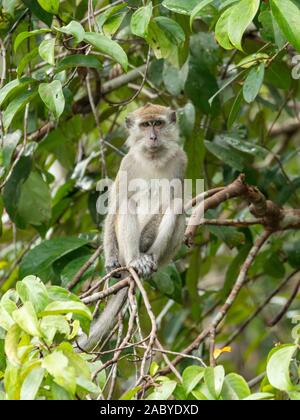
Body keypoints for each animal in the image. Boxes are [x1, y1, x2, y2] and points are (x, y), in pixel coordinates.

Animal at [79, 104, 188, 352]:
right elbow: (116, 205)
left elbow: (174, 199)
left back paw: (149, 258)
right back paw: (134, 262)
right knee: (127, 205)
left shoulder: (181, 160)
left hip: (167, 255)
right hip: (124, 250)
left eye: (158, 123)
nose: (153, 137)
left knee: (176, 208)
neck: (153, 158)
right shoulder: (126, 164)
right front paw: (110, 262)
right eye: (145, 125)